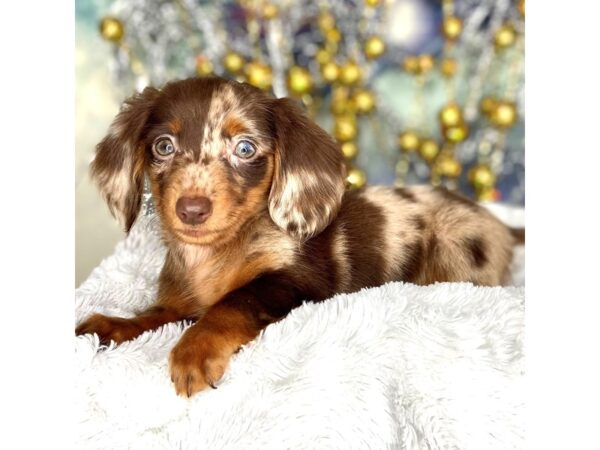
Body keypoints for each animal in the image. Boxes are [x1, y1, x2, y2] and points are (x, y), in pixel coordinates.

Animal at [77, 77, 524, 398]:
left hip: (455, 251)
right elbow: (152, 316)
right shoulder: (181, 302)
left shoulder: (296, 281)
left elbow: (232, 303)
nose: (191, 210)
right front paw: (108, 326)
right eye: (164, 146)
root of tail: (500, 224)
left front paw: (194, 351)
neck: (216, 251)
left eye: (245, 148)